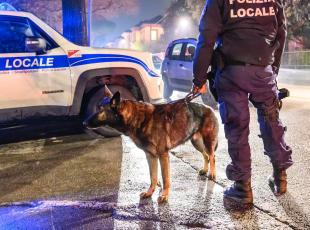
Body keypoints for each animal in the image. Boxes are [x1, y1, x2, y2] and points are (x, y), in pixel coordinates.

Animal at [83, 86, 219, 203]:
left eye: (100, 110)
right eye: (97, 108)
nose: (84, 122)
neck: (139, 119)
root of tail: (209, 108)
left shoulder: (163, 156)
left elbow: (165, 178)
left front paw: (165, 195)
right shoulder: (150, 156)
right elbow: (153, 177)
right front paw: (150, 192)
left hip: (207, 142)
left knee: (212, 156)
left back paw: (212, 173)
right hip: (196, 142)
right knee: (206, 155)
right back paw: (205, 169)